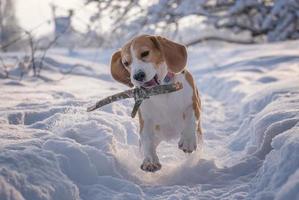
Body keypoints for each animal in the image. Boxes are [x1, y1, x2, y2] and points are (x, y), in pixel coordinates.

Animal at [111, 34, 203, 172]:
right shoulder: (146, 120)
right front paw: (150, 161)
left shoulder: (192, 103)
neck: (161, 90)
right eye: (126, 63)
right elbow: (147, 140)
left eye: (145, 53)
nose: (138, 76)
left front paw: (188, 140)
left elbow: (190, 118)